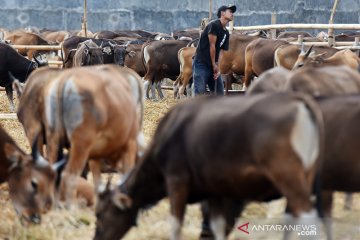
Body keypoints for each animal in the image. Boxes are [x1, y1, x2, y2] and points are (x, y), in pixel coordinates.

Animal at [93, 92, 324, 240]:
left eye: (101, 214)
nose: (98, 238)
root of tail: (300, 103)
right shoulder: (216, 193)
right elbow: (218, 227)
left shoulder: (177, 182)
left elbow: (176, 226)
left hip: (288, 178)